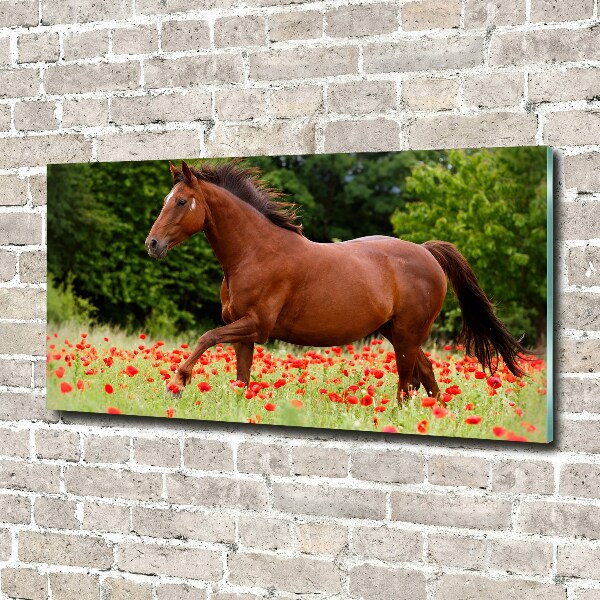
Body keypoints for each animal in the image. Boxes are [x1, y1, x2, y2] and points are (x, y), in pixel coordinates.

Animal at [144, 159, 524, 404]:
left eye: (181, 201)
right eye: (165, 200)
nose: (152, 244)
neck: (255, 252)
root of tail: (427, 251)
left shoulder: (256, 326)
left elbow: (206, 337)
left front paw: (176, 384)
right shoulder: (243, 332)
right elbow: (242, 378)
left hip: (407, 334)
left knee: (406, 382)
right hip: (398, 332)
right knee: (426, 374)